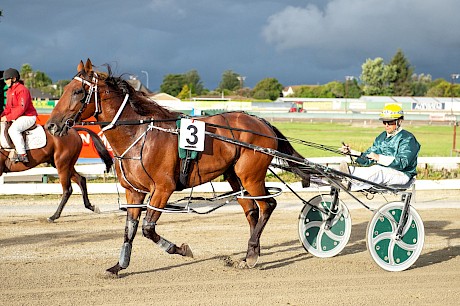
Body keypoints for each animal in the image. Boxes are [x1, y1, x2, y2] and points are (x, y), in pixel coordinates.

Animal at [45, 59, 310, 278]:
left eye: (78, 91)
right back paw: (249, 255)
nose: (51, 125)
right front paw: (119, 266)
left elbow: (148, 229)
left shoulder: (163, 188)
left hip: (251, 176)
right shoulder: (134, 192)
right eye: (65, 90)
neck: (139, 134)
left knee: (268, 205)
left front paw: (181, 249)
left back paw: (253, 253)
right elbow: (129, 230)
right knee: (252, 211)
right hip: (235, 176)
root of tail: (262, 121)